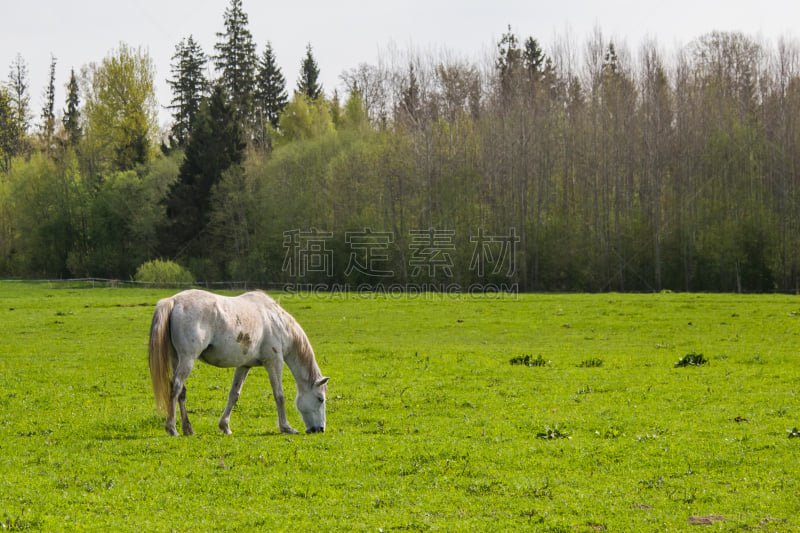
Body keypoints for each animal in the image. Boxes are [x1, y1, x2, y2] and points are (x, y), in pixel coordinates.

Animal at [148, 288, 326, 434]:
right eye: (320, 399)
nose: (320, 429)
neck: (276, 321)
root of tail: (174, 301)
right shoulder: (274, 362)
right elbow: (279, 395)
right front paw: (286, 427)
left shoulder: (244, 365)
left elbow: (234, 395)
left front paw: (225, 426)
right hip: (187, 359)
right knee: (176, 387)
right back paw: (172, 428)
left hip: (177, 359)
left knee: (182, 392)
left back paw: (188, 429)